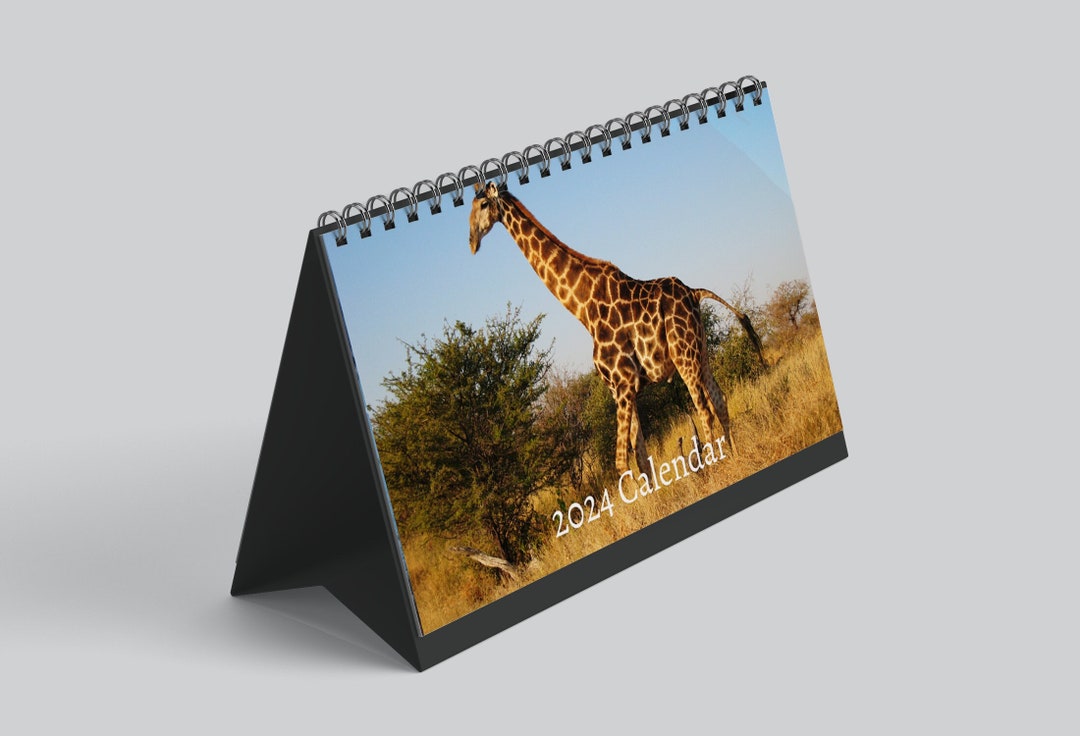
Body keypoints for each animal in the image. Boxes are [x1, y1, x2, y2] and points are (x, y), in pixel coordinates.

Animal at [468, 182, 764, 476]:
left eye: (483, 205)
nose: (471, 242)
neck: (583, 308)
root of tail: (694, 292)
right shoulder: (619, 388)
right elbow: (641, 455)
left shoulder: (623, 383)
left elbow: (622, 462)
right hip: (701, 352)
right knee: (720, 401)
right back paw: (735, 457)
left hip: (684, 355)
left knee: (705, 410)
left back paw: (715, 467)